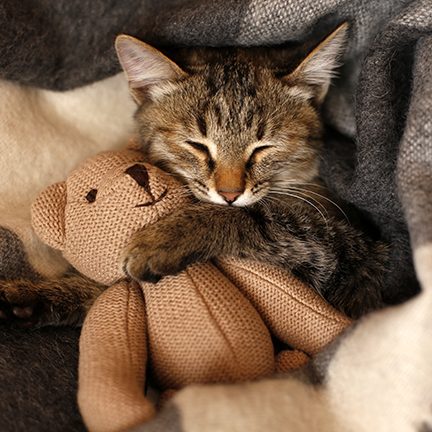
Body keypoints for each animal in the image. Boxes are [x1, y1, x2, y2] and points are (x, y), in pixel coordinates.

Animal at [116, 24, 390, 320]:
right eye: (197, 146)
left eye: (263, 148)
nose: (229, 194)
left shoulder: (350, 255)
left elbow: (252, 216)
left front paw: (166, 237)